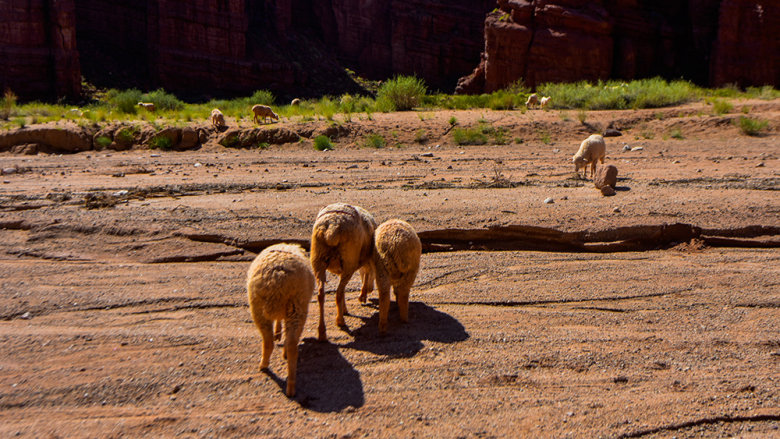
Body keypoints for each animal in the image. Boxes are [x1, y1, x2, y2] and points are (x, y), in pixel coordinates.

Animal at [247, 244, 314, 398]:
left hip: (265, 309)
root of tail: (277, 278)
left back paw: (265, 366)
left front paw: (277, 332)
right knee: (288, 344)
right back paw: (290, 387)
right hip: (292, 308)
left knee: (272, 342)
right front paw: (278, 332)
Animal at [310, 203, 376, 344]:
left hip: (318, 260)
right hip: (348, 262)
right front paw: (363, 296)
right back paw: (340, 321)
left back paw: (322, 333)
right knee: (338, 293)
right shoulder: (366, 260)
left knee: (321, 294)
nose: (371, 289)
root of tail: (331, 228)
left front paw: (345, 307)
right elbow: (366, 274)